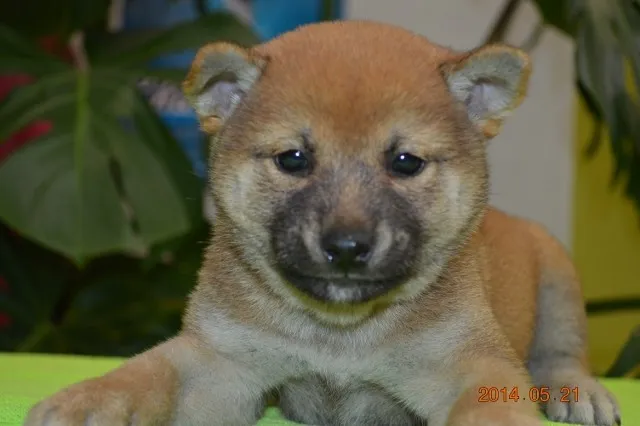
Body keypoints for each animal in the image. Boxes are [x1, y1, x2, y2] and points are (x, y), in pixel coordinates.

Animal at [23, 19, 620, 426]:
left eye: (405, 162)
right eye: (293, 159)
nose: (348, 246)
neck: (339, 336)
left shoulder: (469, 364)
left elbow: (492, 409)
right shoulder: (219, 364)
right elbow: (146, 372)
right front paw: (86, 400)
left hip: (558, 278)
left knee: (562, 355)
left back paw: (580, 393)